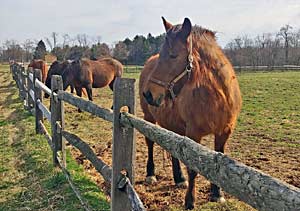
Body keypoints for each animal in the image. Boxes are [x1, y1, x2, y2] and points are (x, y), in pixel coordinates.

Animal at [139, 16, 243, 209]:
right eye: (162, 55)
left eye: (173, 55)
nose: (148, 93)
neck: (218, 96)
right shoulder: (194, 134)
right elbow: (193, 168)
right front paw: (189, 201)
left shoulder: (223, 132)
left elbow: (218, 159)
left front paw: (217, 194)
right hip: (149, 118)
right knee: (150, 143)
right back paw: (151, 175)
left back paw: (179, 178)